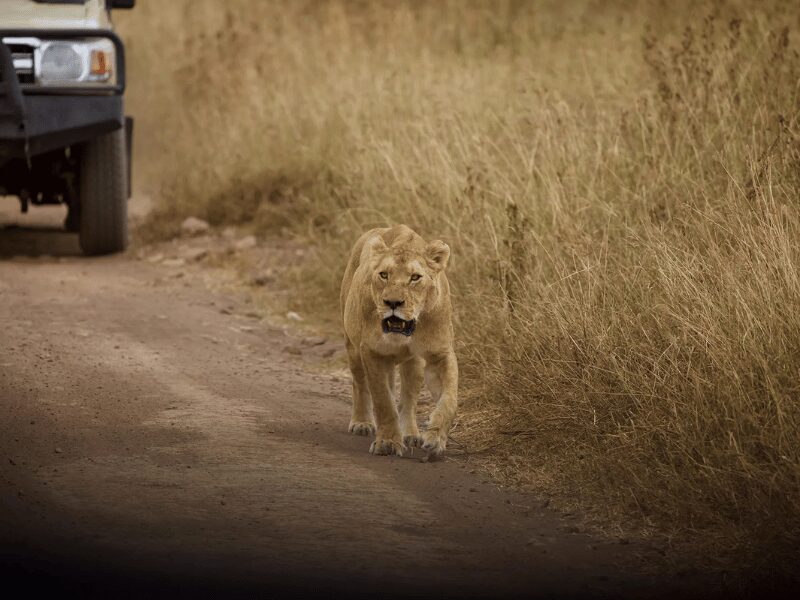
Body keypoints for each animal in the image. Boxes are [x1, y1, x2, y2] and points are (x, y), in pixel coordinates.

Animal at [340, 224, 458, 457]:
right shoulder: (372, 352)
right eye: (384, 275)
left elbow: (450, 399)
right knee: (360, 384)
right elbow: (383, 401)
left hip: (414, 363)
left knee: (408, 399)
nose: (393, 302)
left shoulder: (440, 354)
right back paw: (362, 422)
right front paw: (387, 442)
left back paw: (410, 433)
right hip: (353, 348)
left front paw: (435, 439)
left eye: (415, 277)